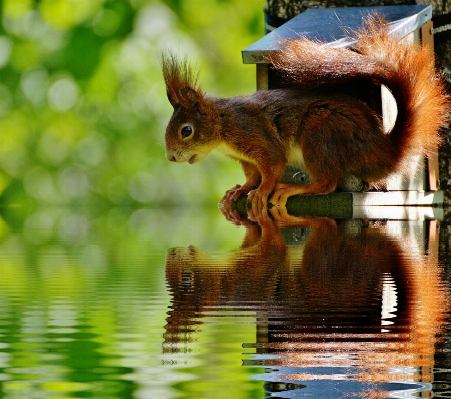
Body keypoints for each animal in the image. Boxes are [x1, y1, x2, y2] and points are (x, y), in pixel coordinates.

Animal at [162, 17, 448, 212]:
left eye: (186, 131)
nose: (171, 158)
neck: (222, 126)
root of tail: (383, 152)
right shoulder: (244, 157)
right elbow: (252, 175)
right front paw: (240, 190)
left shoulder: (252, 134)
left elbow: (272, 165)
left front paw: (262, 191)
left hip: (319, 134)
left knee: (326, 184)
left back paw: (294, 188)